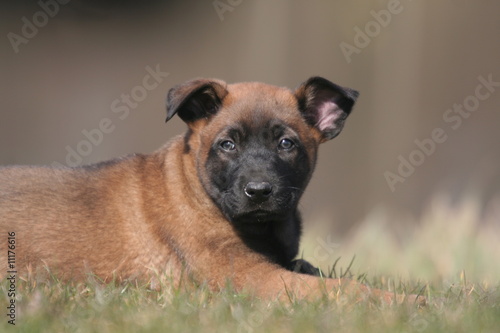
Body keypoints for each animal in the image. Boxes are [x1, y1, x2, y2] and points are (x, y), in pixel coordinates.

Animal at [0, 77, 424, 304]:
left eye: (286, 144)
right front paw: (410, 303)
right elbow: (343, 289)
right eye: (227, 144)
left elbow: (320, 274)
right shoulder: (254, 278)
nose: (259, 191)